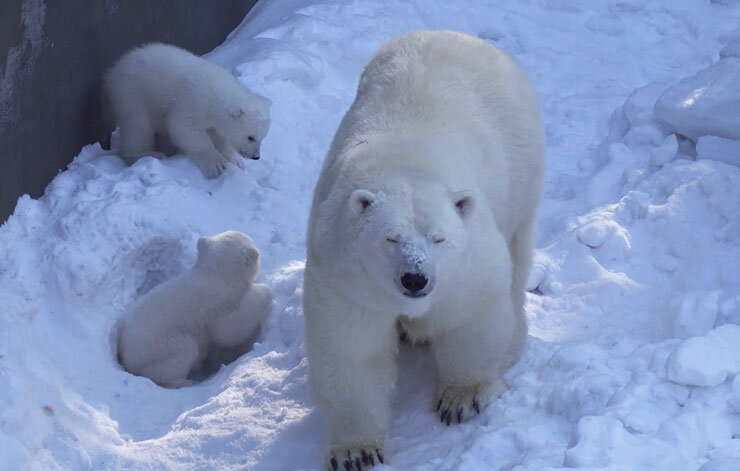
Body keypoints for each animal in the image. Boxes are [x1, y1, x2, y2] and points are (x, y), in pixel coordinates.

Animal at [300, 31, 544, 470]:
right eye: (390, 238)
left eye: (438, 238)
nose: (415, 278)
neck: (404, 166)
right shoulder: (346, 278)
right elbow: (353, 350)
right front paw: (356, 452)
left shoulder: (466, 266)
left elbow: (472, 319)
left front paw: (462, 399)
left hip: (522, 167)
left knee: (517, 253)